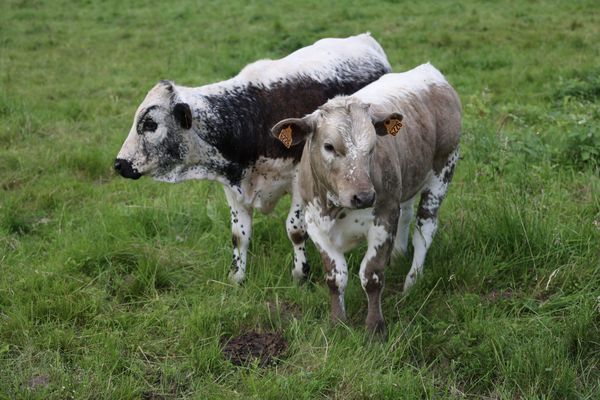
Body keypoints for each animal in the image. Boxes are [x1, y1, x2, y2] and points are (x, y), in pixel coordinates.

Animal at [115, 35, 392, 284]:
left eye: (150, 124)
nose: (120, 164)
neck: (249, 116)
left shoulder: (297, 179)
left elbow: (295, 229)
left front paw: (300, 273)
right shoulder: (232, 187)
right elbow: (239, 235)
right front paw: (237, 276)